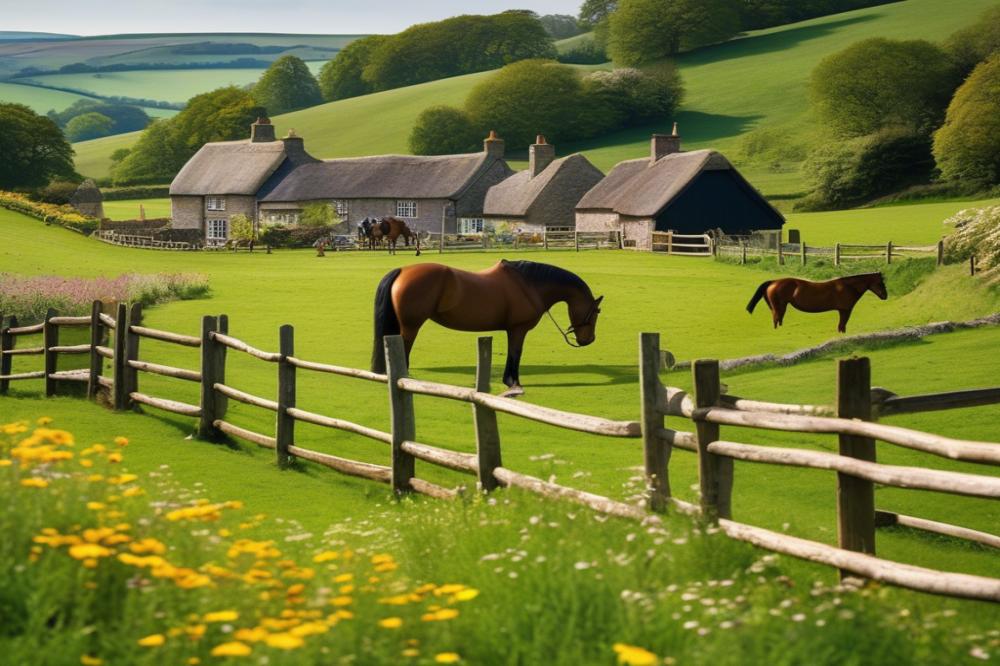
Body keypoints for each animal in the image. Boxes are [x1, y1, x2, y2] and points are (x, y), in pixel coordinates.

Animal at [370, 259, 602, 397]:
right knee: (404, 347)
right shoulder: (518, 330)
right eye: (597, 312)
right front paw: (514, 383)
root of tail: (403, 271)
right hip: (411, 326)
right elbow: (516, 353)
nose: (588, 340)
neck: (529, 285)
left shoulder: (512, 330)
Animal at [746, 272, 888, 333]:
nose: (885, 296)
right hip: (778, 307)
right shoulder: (845, 311)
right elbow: (842, 326)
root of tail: (774, 281)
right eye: (880, 283)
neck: (848, 287)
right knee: (776, 320)